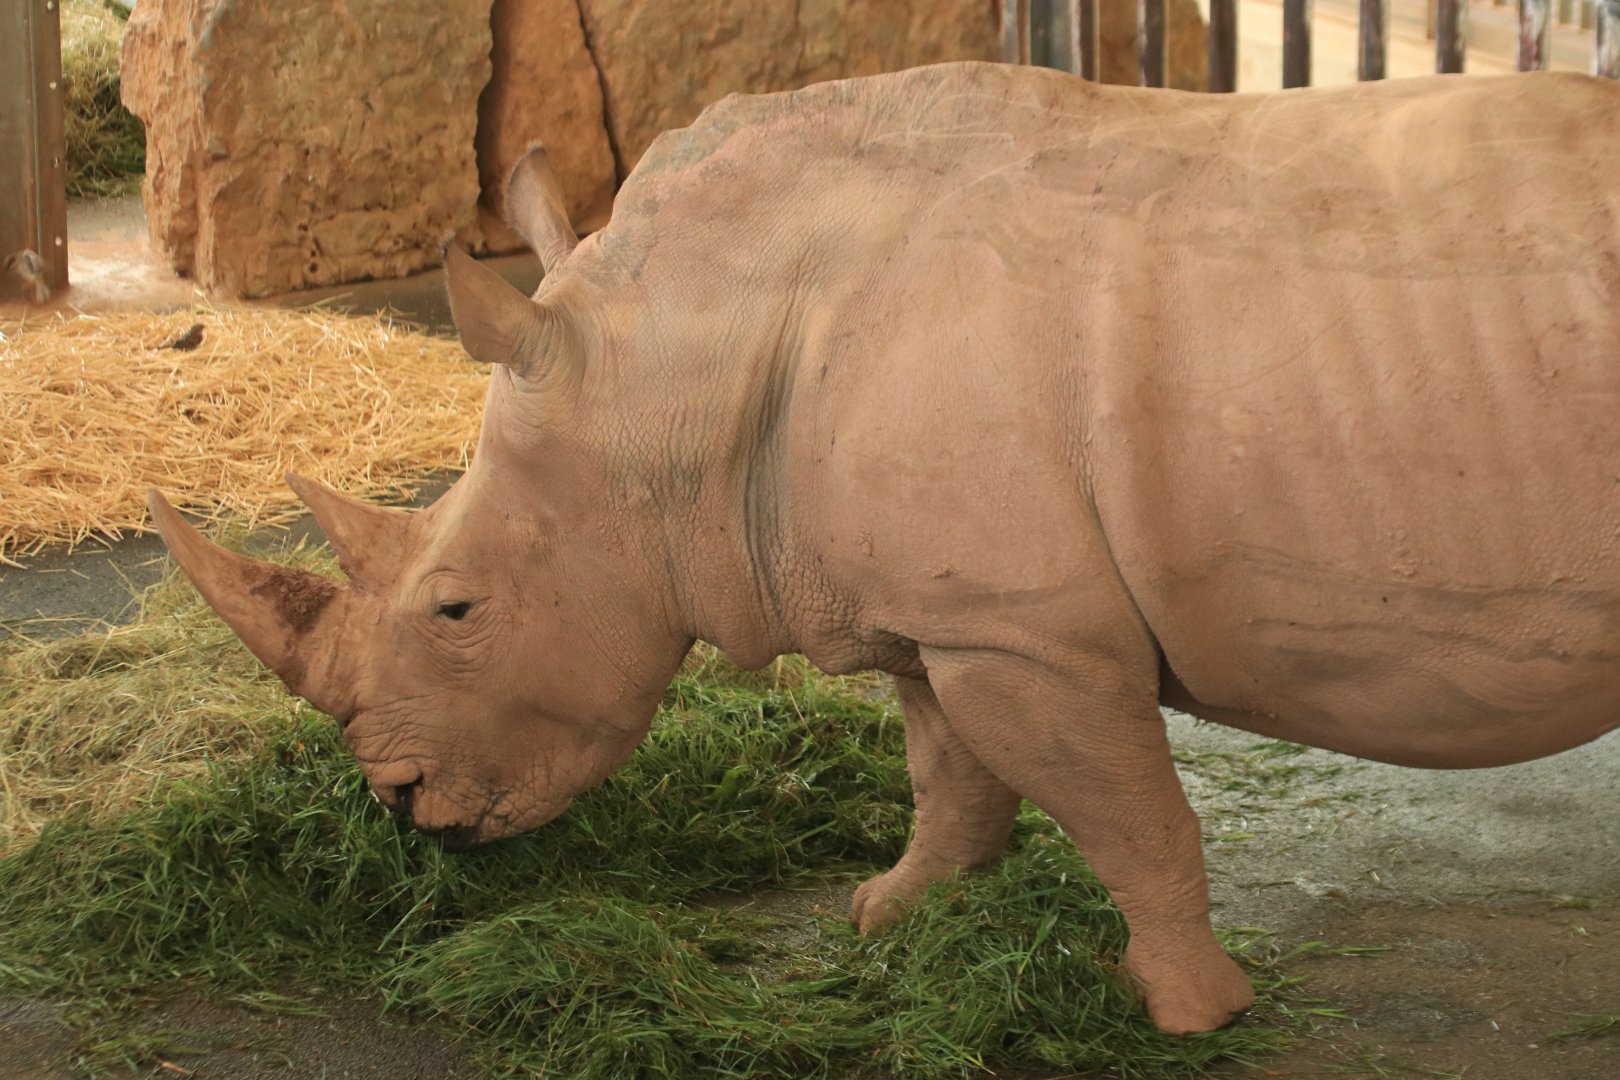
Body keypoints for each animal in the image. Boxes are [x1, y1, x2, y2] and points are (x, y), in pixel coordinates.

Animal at [149, 63, 1620, 1035]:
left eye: (455, 611)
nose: (402, 806)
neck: (668, 380)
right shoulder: (946, 614)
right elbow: (949, 777)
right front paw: (893, 917)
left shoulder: (1030, 631)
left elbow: (1133, 815)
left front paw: (1187, 1015)